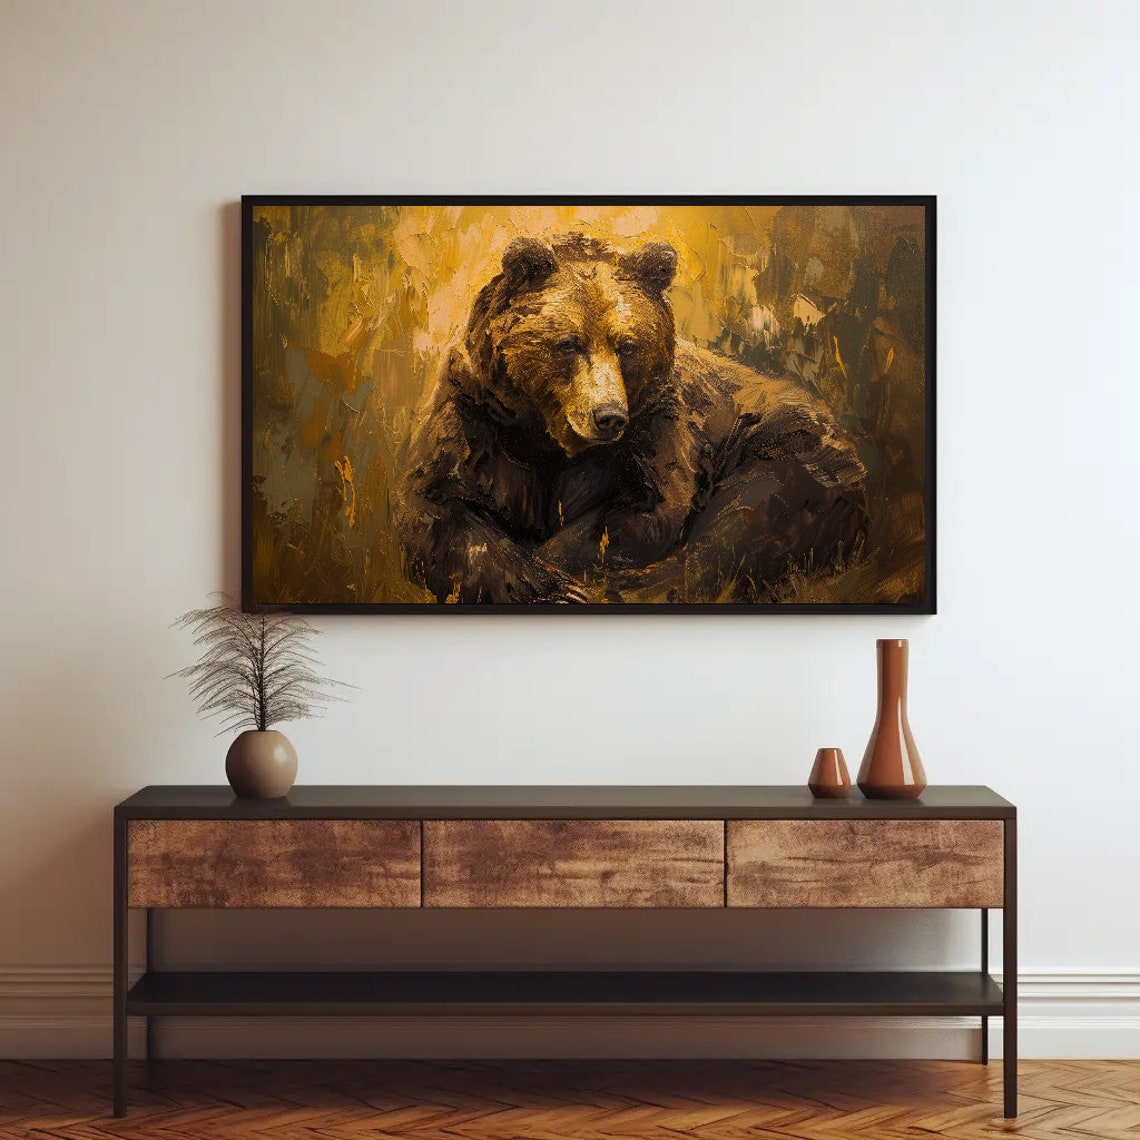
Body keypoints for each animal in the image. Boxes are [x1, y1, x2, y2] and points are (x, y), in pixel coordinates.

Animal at [396, 233, 869, 604]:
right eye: (568, 343)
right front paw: (543, 585)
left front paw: (569, 580)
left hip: (790, 451)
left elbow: (642, 512)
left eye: (627, 345)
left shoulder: (656, 429)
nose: (608, 416)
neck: (547, 436)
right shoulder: (479, 420)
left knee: (740, 525)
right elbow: (437, 512)